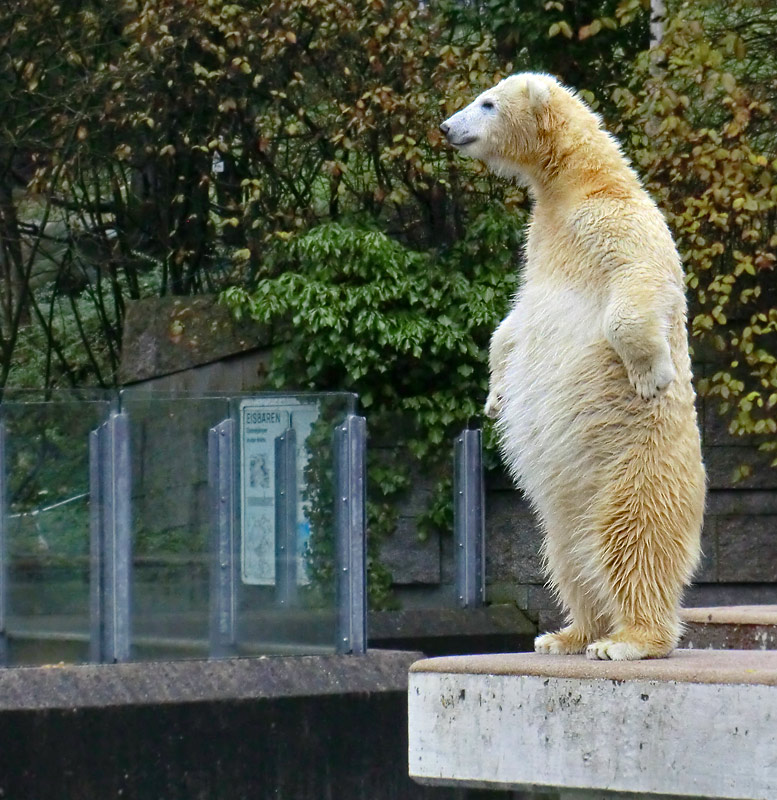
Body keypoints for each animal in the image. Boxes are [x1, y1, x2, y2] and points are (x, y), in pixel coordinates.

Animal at [442, 73, 704, 664]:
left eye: (487, 103)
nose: (446, 126)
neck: (576, 183)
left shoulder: (615, 221)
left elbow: (640, 280)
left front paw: (651, 372)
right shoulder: (540, 244)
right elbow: (513, 324)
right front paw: (496, 394)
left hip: (637, 465)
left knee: (634, 538)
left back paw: (628, 641)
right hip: (564, 503)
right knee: (567, 555)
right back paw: (566, 634)